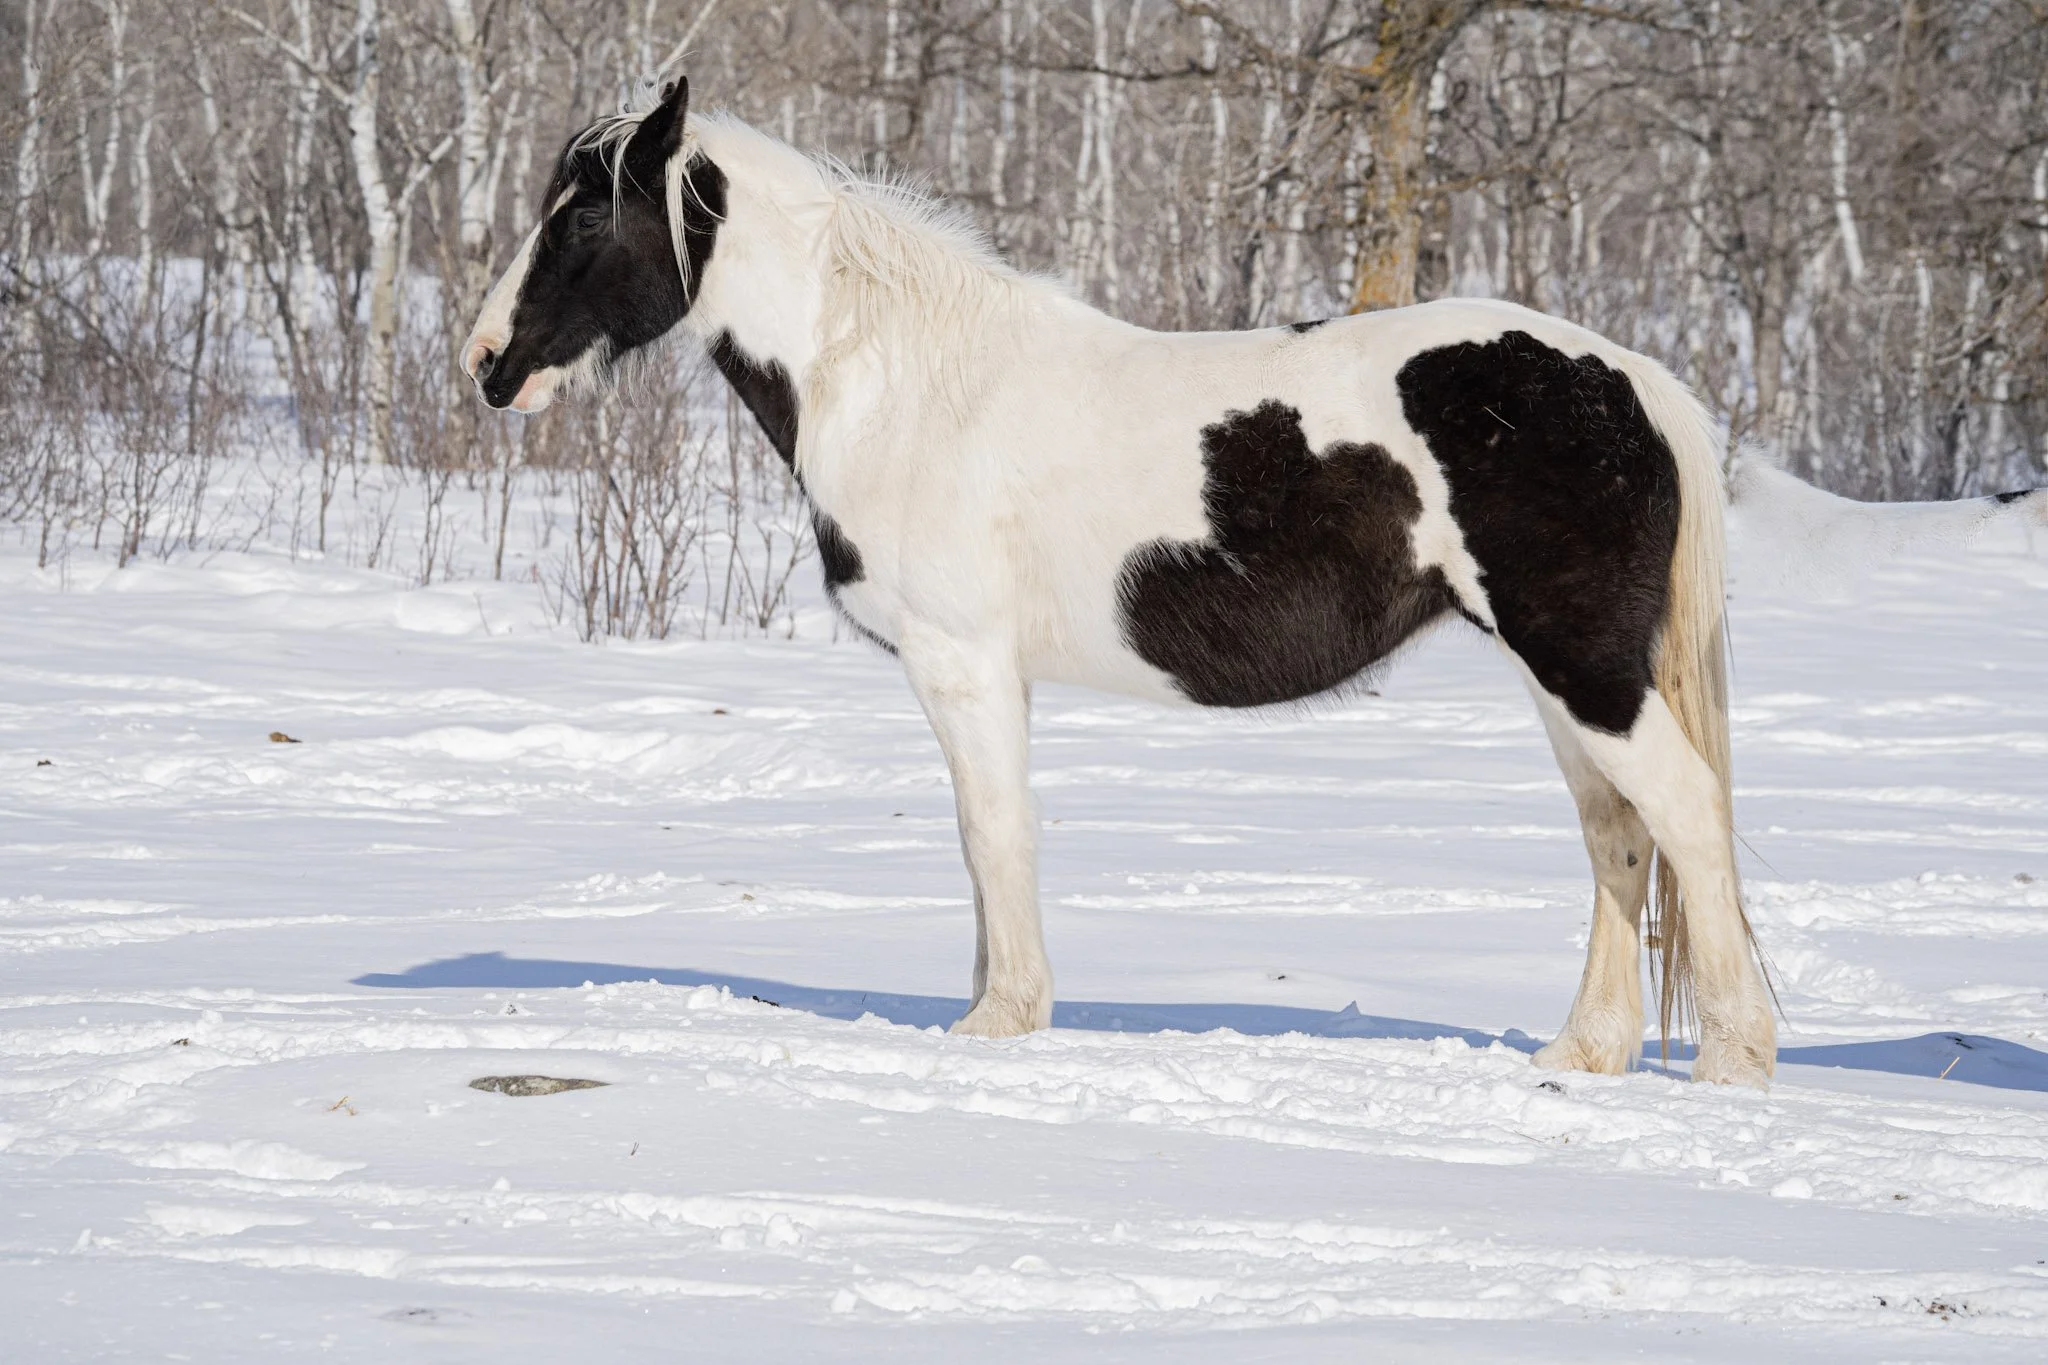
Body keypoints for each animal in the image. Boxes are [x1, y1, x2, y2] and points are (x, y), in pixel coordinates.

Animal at [459, 78, 2039, 1089]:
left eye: (581, 217)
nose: (485, 364)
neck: (906, 380)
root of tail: (1629, 377)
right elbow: (984, 857)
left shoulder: (965, 664)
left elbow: (994, 843)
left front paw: (999, 1028)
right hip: (1568, 679)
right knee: (1619, 840)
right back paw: (1579, 1057)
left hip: (1582, 665)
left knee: (1687, 825)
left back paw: (1730, 1063)